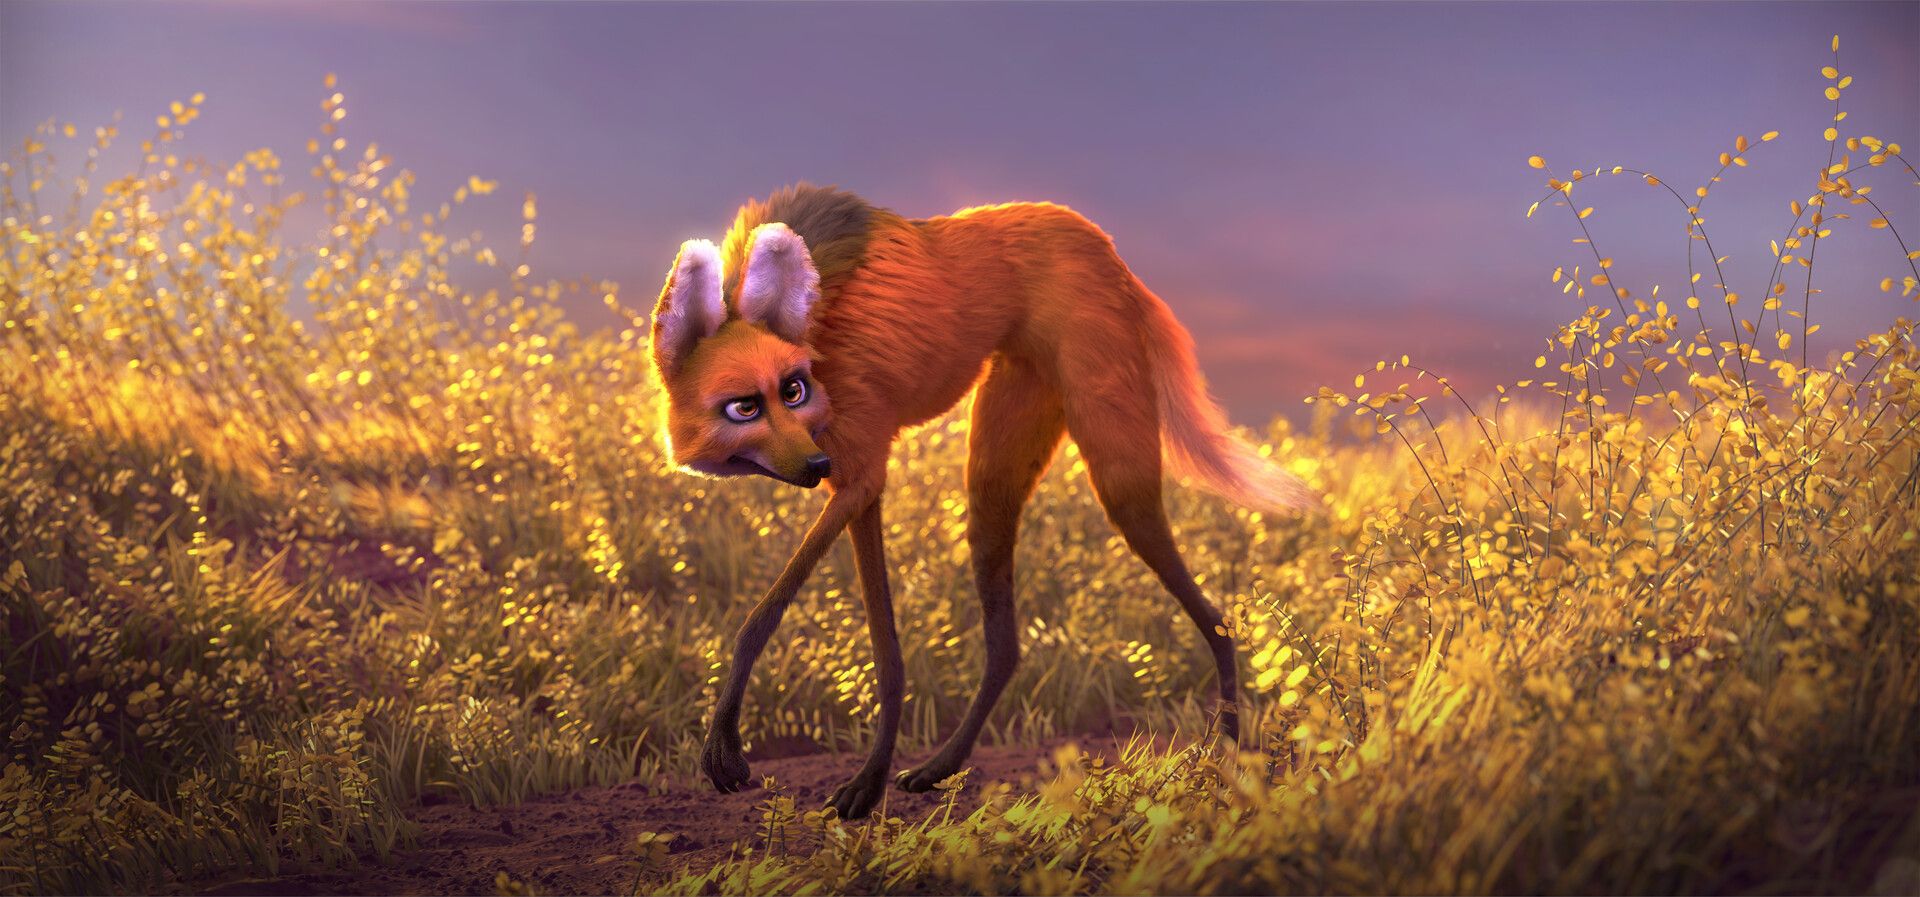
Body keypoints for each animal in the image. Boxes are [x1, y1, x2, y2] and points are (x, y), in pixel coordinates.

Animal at [650, 184, 1312, 820]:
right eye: (745, 407)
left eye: (793, 391)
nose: (814, 467)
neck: (821, 331)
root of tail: (1101, 242)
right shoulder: (859, 486)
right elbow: (885, 653)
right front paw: (870, 780)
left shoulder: (857, 476)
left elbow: (768, 619)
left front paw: (746, 757)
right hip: (993, 474)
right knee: (1008, 645)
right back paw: (942, 767)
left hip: (1117, 482)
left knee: (1217, 620)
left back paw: (1227, 761)